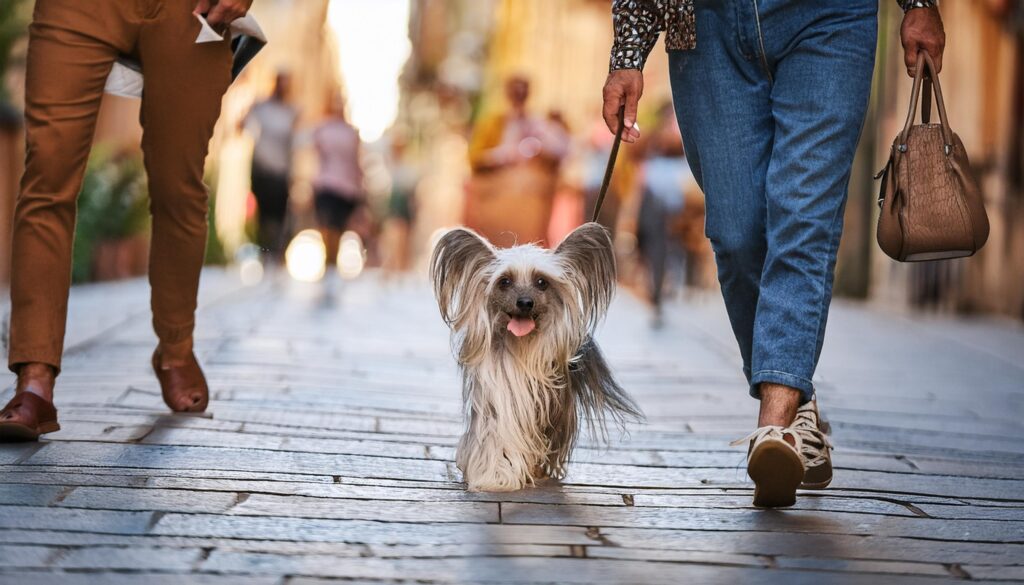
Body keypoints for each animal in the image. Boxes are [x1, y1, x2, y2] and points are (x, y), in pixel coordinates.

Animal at [430, 222, 638, 491]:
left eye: (542, 282)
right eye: (504, 282)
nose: (525, 302)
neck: (522, 346)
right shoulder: (498, 400)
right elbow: (497, 436)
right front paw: (496, 476)